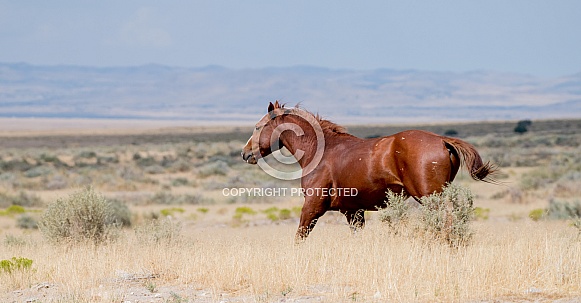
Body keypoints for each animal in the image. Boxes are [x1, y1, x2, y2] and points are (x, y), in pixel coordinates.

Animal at [240, 101, 494, 242]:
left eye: (258, 127)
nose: (245, 153)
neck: (321, 151)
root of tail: (441, 140)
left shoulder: (312, 206)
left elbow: (300, 236)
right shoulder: (353, 211)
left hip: (431, 197)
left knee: (446, 222)